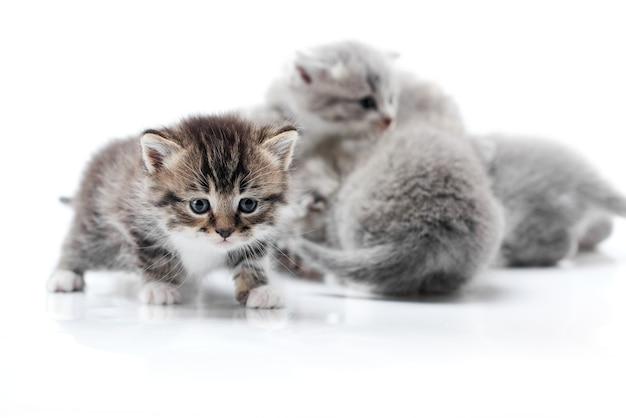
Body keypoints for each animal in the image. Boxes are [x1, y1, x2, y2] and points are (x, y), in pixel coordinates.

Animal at [47, 114, 296, 306]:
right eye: (199, 205)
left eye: (248, 204)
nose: (225, 232)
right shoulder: (138, 222)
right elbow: (156, 256)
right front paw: (160, 286)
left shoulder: (257, 234)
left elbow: (252, 256)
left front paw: (259, 289)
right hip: (94, 221)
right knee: (78, 243)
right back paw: (64, 275)